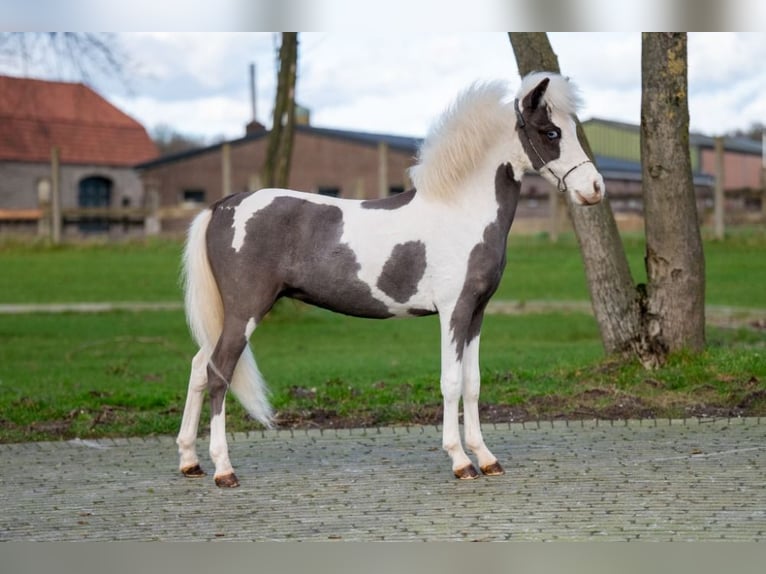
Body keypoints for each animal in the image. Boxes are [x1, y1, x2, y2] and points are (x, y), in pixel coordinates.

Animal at [176, 71, 608, 486]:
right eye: (550, 132)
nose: (595, 189)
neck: (460, 210)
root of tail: (223, 205)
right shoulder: (453, 311)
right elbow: (451, 382)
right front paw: (460, 461)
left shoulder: (477, 313)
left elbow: (473, 383)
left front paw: (486, 458)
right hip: (246, 311)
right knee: (218, 372)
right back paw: (223, 470)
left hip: (228, 316)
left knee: (198, 367)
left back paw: (189, 461)